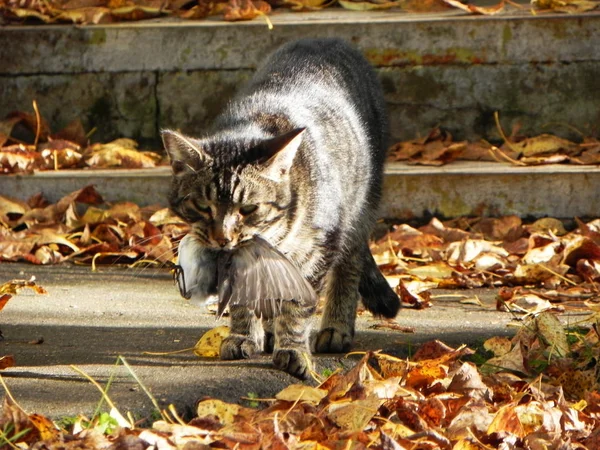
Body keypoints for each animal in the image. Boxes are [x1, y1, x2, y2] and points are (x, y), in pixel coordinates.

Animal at [162, 37, 400, 380]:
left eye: (248, 208)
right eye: (203, 206)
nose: (223, 238)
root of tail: (326, 38)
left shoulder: (320, 246)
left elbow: (297, 304)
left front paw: (293, 348)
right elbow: (245, 299)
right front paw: (244, 336)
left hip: (360, 206)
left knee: (350, 264)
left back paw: (335, 328)